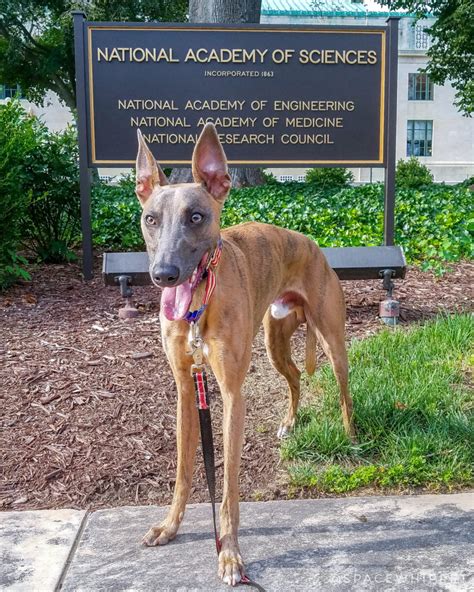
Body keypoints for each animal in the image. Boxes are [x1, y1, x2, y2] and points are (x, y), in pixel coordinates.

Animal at [135, 122, 354, 584]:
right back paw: (289, 423)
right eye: (150, 219)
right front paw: (170, 525)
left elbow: (229, 485)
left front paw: (230, 554)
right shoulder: (186, 389)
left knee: (345, 392)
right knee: (295, 380)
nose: (164, 275)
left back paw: (351, 436)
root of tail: (311, 242)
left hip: (332, 340)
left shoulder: (233, 394)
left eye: (196, 217)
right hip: (274, 342)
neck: (200, 304)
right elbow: (183, 470)